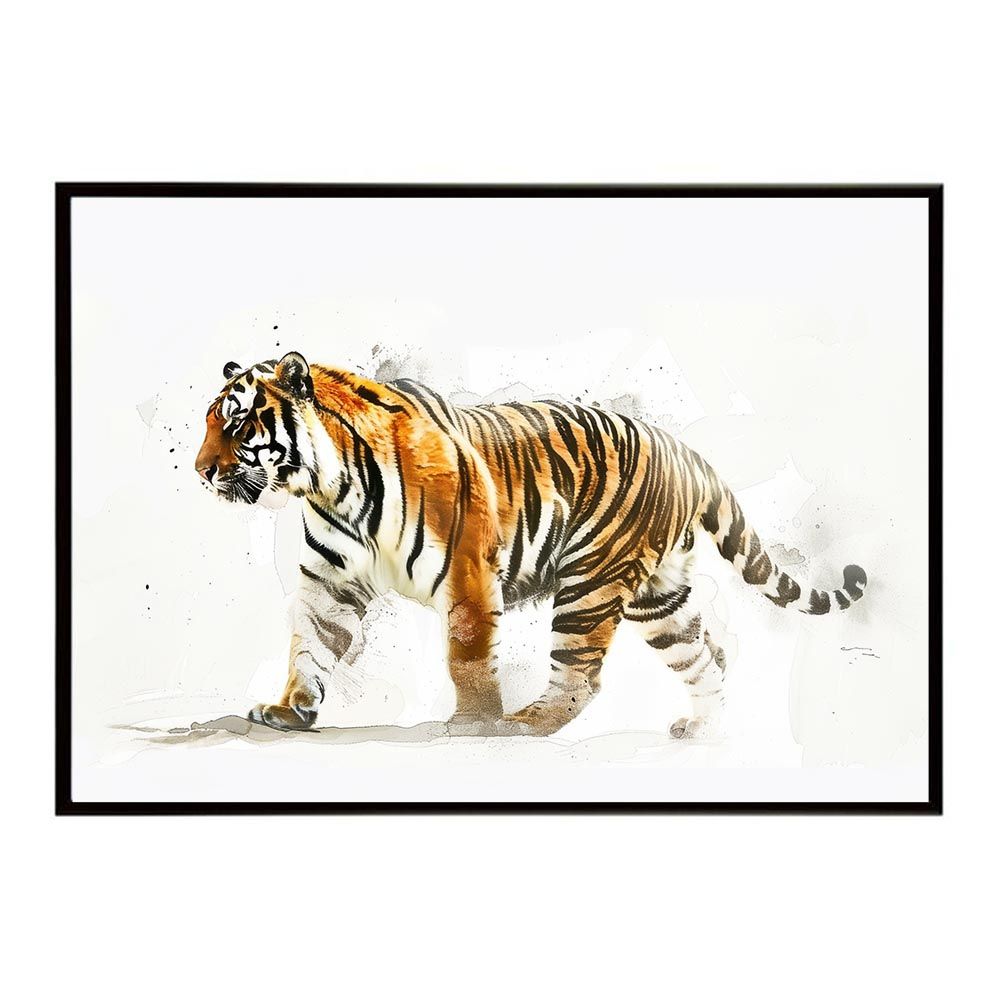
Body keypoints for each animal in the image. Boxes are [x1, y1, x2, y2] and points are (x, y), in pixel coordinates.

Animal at [195, 351, 867, 738]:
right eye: (207, 422)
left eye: (236, 423)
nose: (200, 471)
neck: (332, 485)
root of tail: (683, 450)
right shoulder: (330, 582)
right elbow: (308, 645)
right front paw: (291, 709)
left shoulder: (467, 571)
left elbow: (466, 656)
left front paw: (472, 722)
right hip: (659, 598)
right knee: (706, 655)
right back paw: (706, 730)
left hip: (589, 582)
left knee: (582, 673)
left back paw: (526, 723)